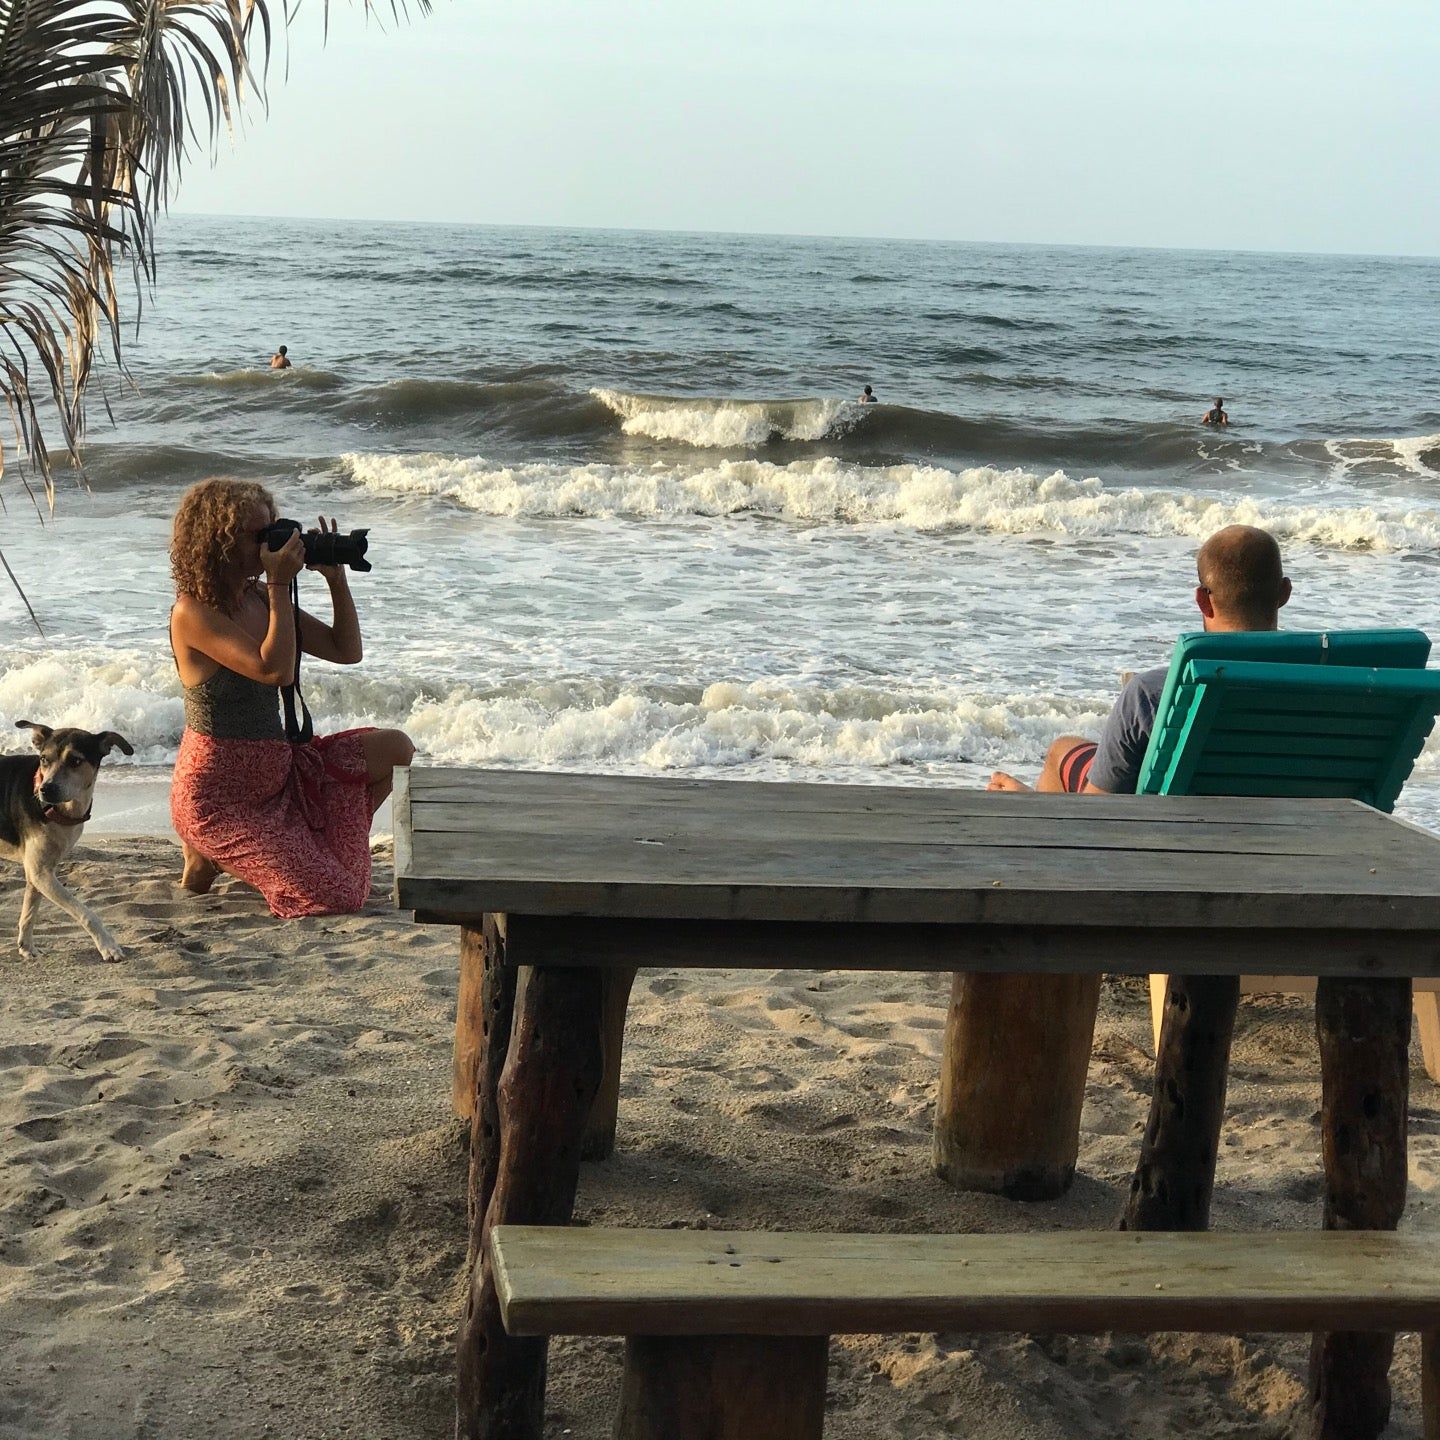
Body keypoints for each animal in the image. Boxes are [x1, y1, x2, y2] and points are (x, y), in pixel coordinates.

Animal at [0, 725, 135, 961]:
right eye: (44, 759)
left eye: (75, 760)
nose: (46, 789)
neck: (61, 811)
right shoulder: (41, 873)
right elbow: (86, 913)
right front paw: (108, 946)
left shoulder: (38, 872)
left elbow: (29, 913)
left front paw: (27, 947)